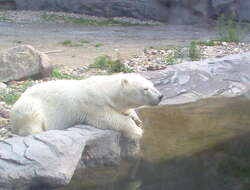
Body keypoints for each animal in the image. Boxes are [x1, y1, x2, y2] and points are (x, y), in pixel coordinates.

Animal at [10, 73, 162, 139]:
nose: (160, 97)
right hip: (29, 105)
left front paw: (136, 118)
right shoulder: (93, 104)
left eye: (153, 85)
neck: (106, 90)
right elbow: (110, 118)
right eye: (145, 89)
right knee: (32, 120)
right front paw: (137, 131)